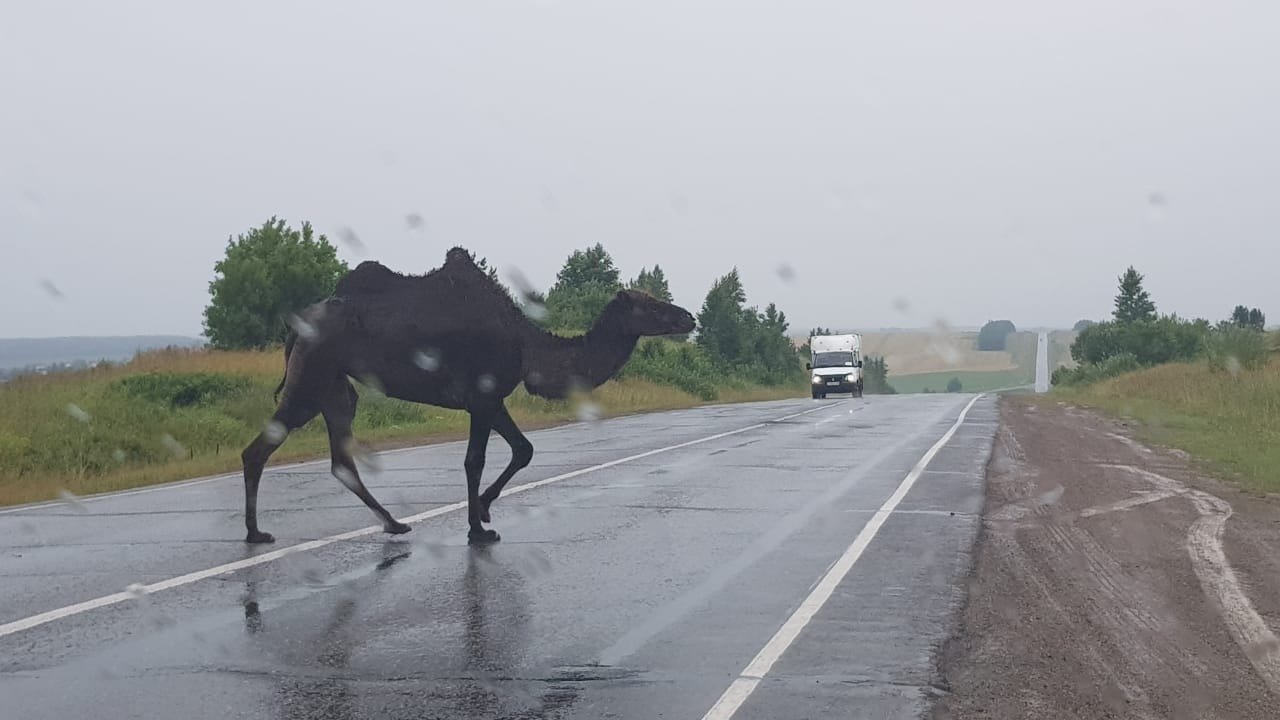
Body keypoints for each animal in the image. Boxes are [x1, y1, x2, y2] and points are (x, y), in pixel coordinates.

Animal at [240, 245, 701, 543]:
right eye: (650, 305)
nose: (688, 317)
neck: (528, 345)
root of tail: (296, 328)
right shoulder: (484, 396)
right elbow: (492, 457)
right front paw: (480, 523)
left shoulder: (487, 400)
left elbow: (510, 452)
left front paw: (479, 513)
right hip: (313, 375)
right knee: (264, 447)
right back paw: (256, 533)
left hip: (335, 386)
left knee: (340, 457)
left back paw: (393, 524)